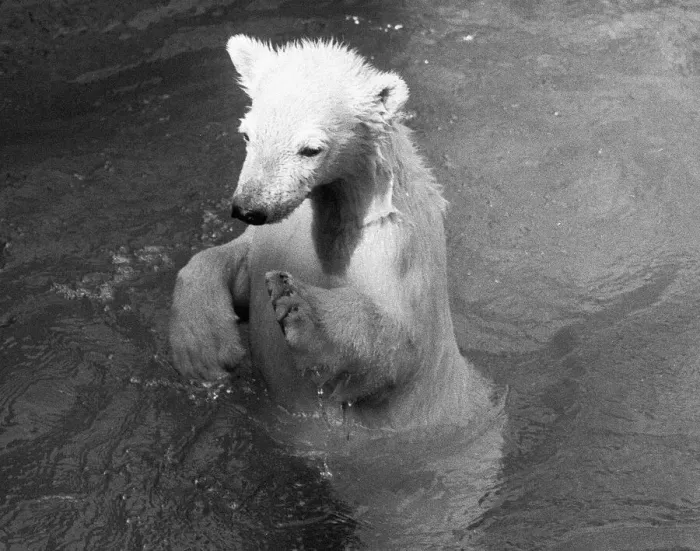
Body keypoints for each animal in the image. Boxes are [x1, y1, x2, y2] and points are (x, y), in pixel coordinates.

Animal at [169, 35, 493, 428]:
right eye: (247, 134)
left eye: (311, 149)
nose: (249, 208)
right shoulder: (277, 237)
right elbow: (227, 263)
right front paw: (203, 350)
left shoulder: (395, 251)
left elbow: (397, 345)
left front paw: (297, 301)